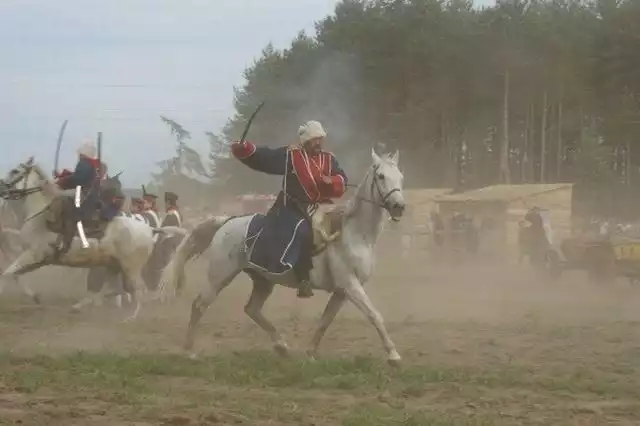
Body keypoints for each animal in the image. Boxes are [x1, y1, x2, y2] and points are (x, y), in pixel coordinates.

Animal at [0, 157, 185, 320]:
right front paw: (35, 296)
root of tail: (149, 229)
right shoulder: (36, 260)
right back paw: (84, 305)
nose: (1, 187)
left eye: (15, 171)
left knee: (138, 290)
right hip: (113, 266)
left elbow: (7, 275)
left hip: (130, 268)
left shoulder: (32, 255)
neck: (41, 214)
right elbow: (14, 275)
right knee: (116, 289)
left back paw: (131, 317)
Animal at [161, 149, 410, 362]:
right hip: (219, 277)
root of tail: (227, 221)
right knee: (199, 305)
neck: (355, 233)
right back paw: (189, 350)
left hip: (263, 280)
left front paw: (310, 352)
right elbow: (374, 314)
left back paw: (281, 346)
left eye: (400, 176)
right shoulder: (350, 285)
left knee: (252, 309)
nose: (399, 206)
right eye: (381, 176)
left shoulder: (341, 291)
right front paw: (393, 355)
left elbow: (325, 321)